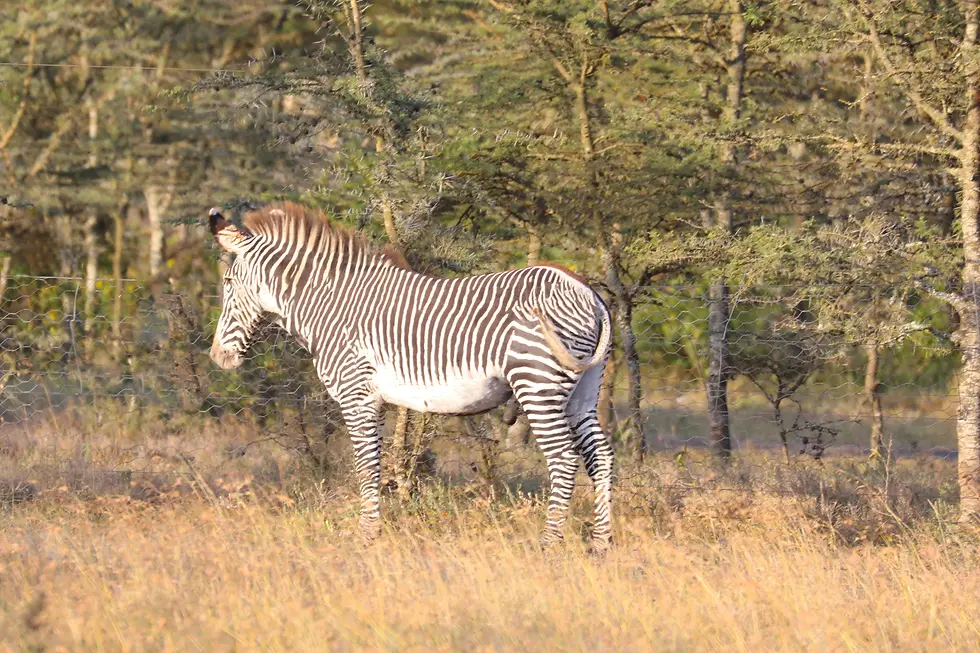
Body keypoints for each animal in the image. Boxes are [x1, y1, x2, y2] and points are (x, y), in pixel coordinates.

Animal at [207, 202, 615, 551]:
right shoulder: (376, 401)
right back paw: (601, 544)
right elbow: (378, 464)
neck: (328, 304)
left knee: (563, 458)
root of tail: (587, 291)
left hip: (537, 383)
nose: (217, 357)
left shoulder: (356, 396)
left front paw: (366, 537)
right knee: (601, 455)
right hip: (582, 390)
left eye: (227, 283)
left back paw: (549, 544)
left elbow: (366, 467)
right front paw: (372, 530)